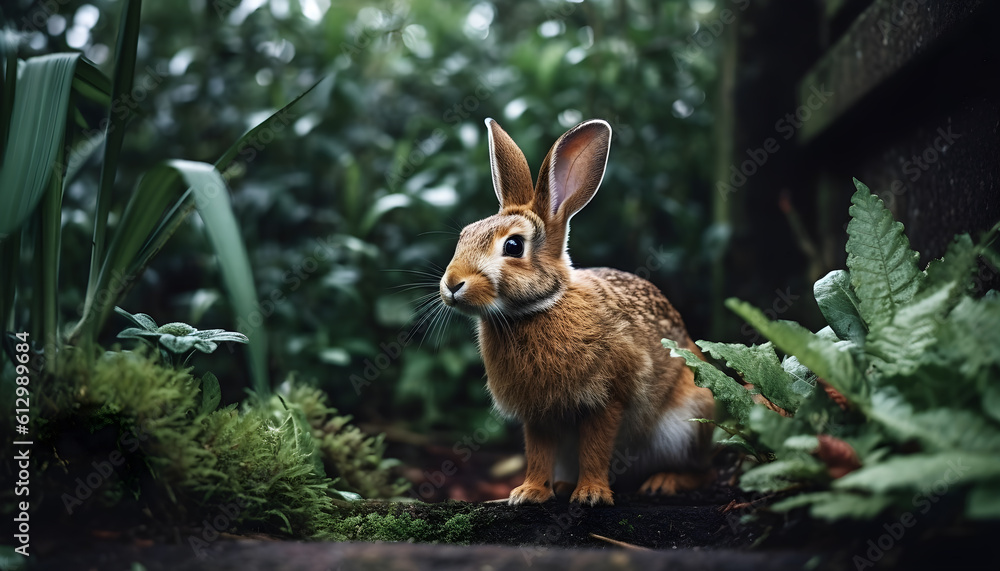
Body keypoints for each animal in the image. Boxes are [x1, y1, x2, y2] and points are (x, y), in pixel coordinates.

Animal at [438, 118, 716, 506]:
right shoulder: (537, 414)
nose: (452, 284)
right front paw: (529, 493)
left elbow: (596, 447)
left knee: (705, 471)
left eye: (513, 246)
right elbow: (538, 451)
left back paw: (663, 482)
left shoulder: (608, 399)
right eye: (464, 235)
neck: (539, 307)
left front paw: (592, 495)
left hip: (690, 422)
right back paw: (563, 486)